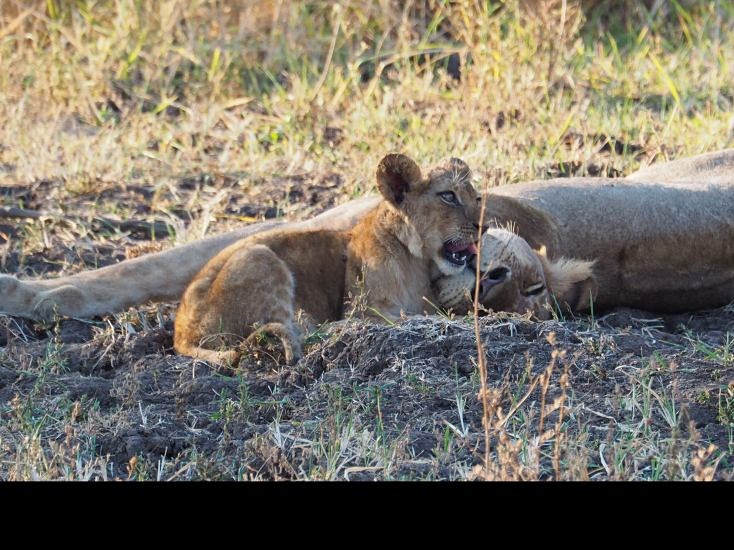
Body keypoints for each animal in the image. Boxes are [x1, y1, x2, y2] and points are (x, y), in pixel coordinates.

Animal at [173, 153, 483, 364]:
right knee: (300, 336)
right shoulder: (364, 310)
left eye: (477, 197)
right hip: (259, 256)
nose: (483, 224)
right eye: (448, 196)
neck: (417, 262)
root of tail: (181, 332)